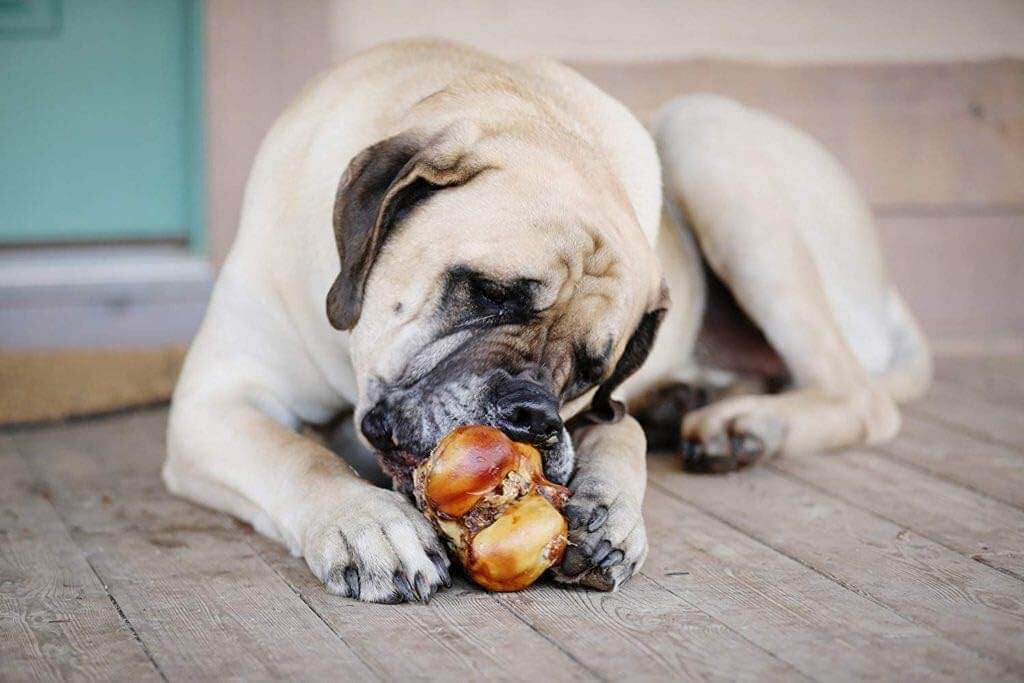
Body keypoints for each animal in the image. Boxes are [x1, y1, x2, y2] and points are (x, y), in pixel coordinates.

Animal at [163, 38, 933, 602]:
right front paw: (365, 525)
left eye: (592, 369)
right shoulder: (215, 402)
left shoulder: (605, 405)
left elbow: (620, 434)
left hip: (707, 136)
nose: (531, 413)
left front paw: (611, 509)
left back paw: (739, 426)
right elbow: (297, 453)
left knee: (861, 397)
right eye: (487, 292)